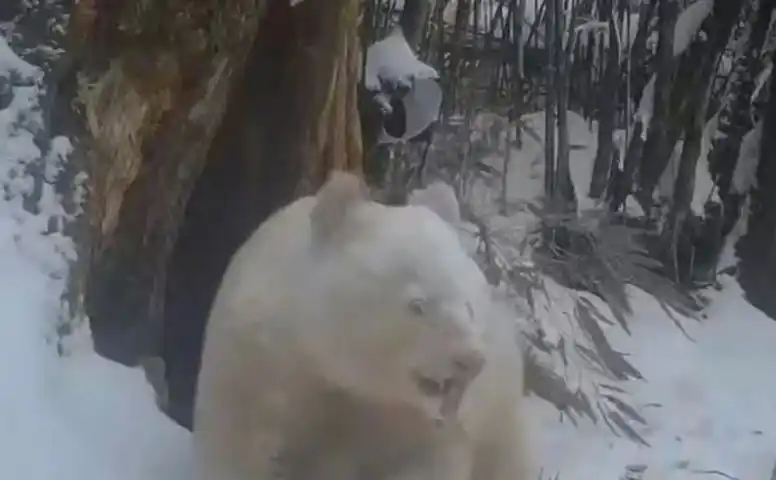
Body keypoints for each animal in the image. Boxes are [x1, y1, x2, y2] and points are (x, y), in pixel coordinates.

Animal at [192, 171, 532, 480]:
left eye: (470, 306)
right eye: (417, 305)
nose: (470, 360)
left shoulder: (420, 426)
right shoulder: (258, 361)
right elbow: (237, 443)